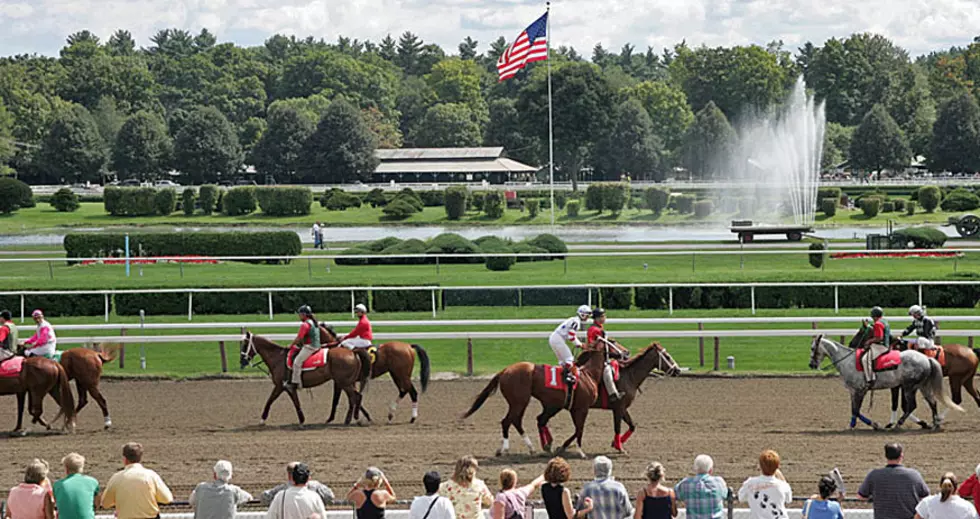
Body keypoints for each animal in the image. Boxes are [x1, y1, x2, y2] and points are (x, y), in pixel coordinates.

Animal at [240, 334, 372, 426]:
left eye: (245, 344)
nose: (242, 361)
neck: (278, 358)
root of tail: (352, 351)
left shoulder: (280, 386)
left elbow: (270, 401)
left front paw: (262, 420)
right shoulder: (287, 387)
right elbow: (294, 402)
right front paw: (302, 420)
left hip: (344, 383)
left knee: (355, 397)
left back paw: (354, 419)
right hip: (346, 382)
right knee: (355, 397)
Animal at [464, 348, 608, 458]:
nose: (620, 354)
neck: (588, 374)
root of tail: (504, 370)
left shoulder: (560, 406)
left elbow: (574, 428)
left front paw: (552, 446)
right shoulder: (580, 408)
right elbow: (579, 429)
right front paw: (581, 452)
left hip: (519, 403)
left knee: (516, 420)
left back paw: (530, 448)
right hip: (519, 401)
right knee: (507, 421)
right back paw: (505, 448)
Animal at [536, 346, 680, 456]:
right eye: (667, 356)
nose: (677, 370)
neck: (629, 376)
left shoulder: (623, 408)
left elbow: (632, 425)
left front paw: (615, 443)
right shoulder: (618, 408)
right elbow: (617, 427)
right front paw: (619, 447)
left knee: (542, 420)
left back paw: (549, 444)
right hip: (555, 406)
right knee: (542, 420)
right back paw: (549, 444)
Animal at [808, 334, 960, 430]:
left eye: (812, 348)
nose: (811, 365)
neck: (848, 361)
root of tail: (926, 358)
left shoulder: (860, 391)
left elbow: (856, 410)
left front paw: (871, 425)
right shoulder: (853, 392)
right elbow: (854, 410)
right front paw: (858, 424)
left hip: (909, 387)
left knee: (912, 406)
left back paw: (899, 424)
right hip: (923, 387)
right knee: (932, 402)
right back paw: (935, 424)